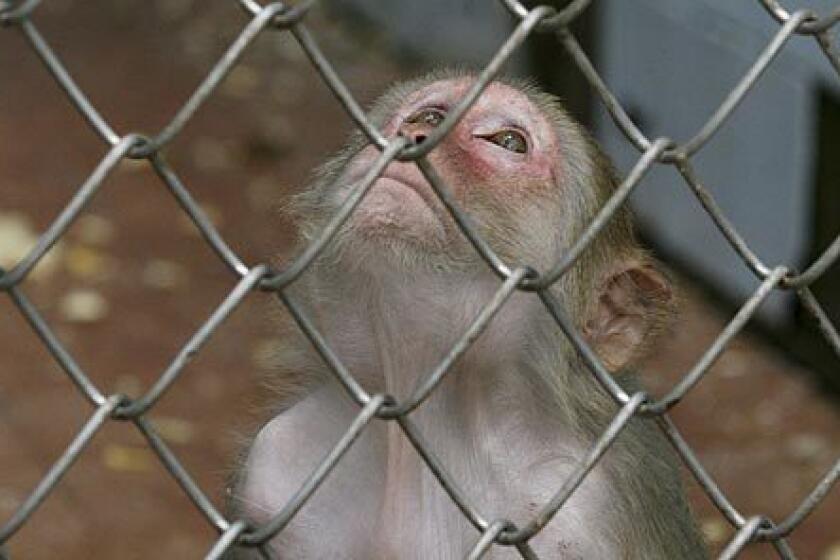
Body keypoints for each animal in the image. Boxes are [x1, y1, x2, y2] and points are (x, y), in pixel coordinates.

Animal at [226, 68, 704, 556]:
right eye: (431, 115)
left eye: (509, 141)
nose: (414, 135)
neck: (432, 410)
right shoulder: (277, 466)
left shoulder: (586, 515)